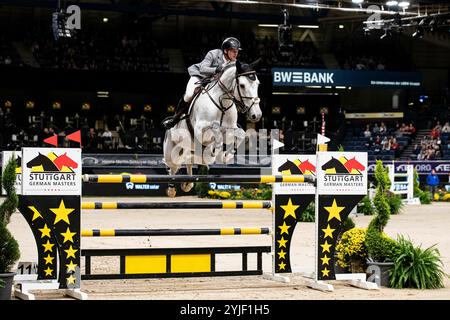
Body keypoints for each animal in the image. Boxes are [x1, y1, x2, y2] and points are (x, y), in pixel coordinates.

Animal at [163, 58, 262, 196]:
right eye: (242, 85)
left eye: (257, 84)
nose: (256, 115)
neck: (222, 103)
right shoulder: (201, 130)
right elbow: (216, 134)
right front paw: (217, 151)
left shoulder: (230, 129)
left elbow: (240, 135)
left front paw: (225, 156)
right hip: (171, 150)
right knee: (172, 167)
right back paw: (172, 189)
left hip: (191, 150)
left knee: (189, 160)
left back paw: (187, 184)